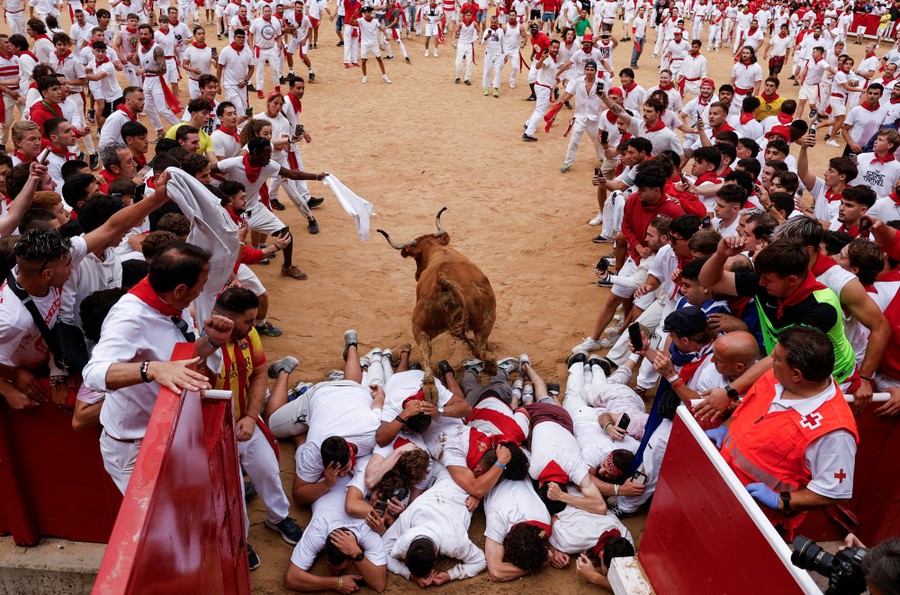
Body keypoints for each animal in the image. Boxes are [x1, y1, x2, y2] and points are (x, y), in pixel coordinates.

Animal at [374, 210, 496, 384]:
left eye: (416, 257)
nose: (417, 275)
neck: (437, 250)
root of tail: (444, 284)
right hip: (486, 322)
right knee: (479, 349)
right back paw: (491, 364)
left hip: (421, 327)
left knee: (426, 352)